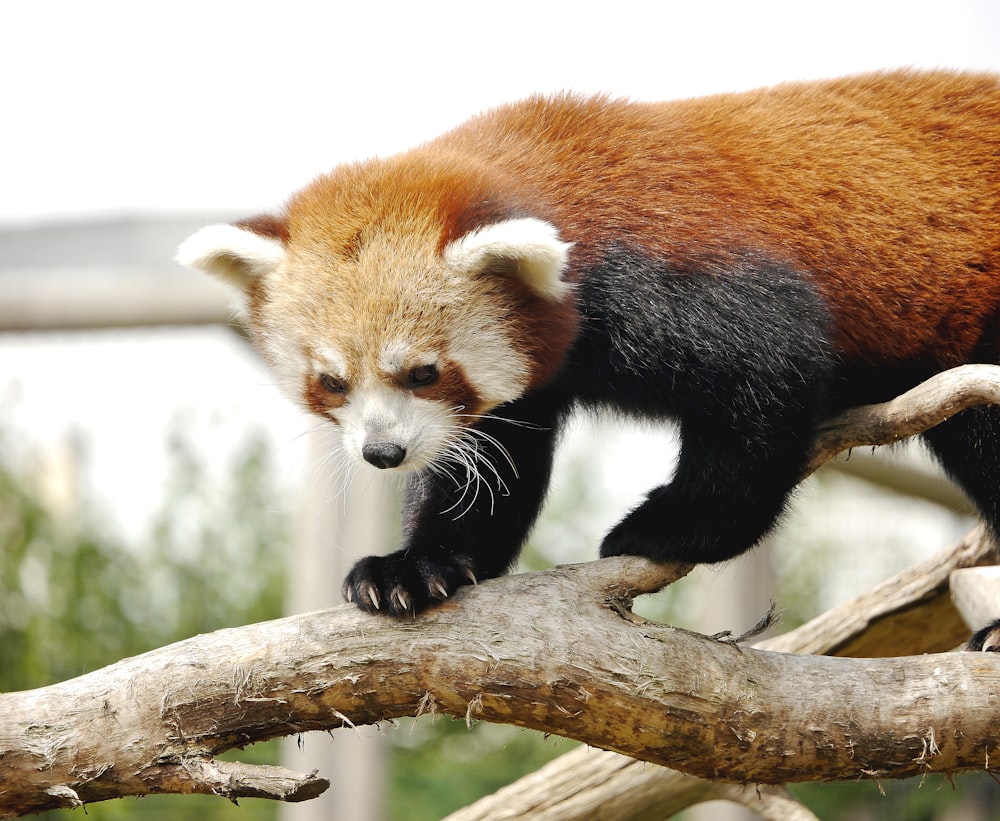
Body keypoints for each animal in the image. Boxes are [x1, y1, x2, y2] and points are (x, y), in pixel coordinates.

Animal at [180, 72, 1000, 616]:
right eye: (332, 382)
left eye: (422, 373)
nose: (383, 453)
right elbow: (490, 468)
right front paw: (416, 565)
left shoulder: (682, 273)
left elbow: (767, 384)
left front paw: (676, 525)